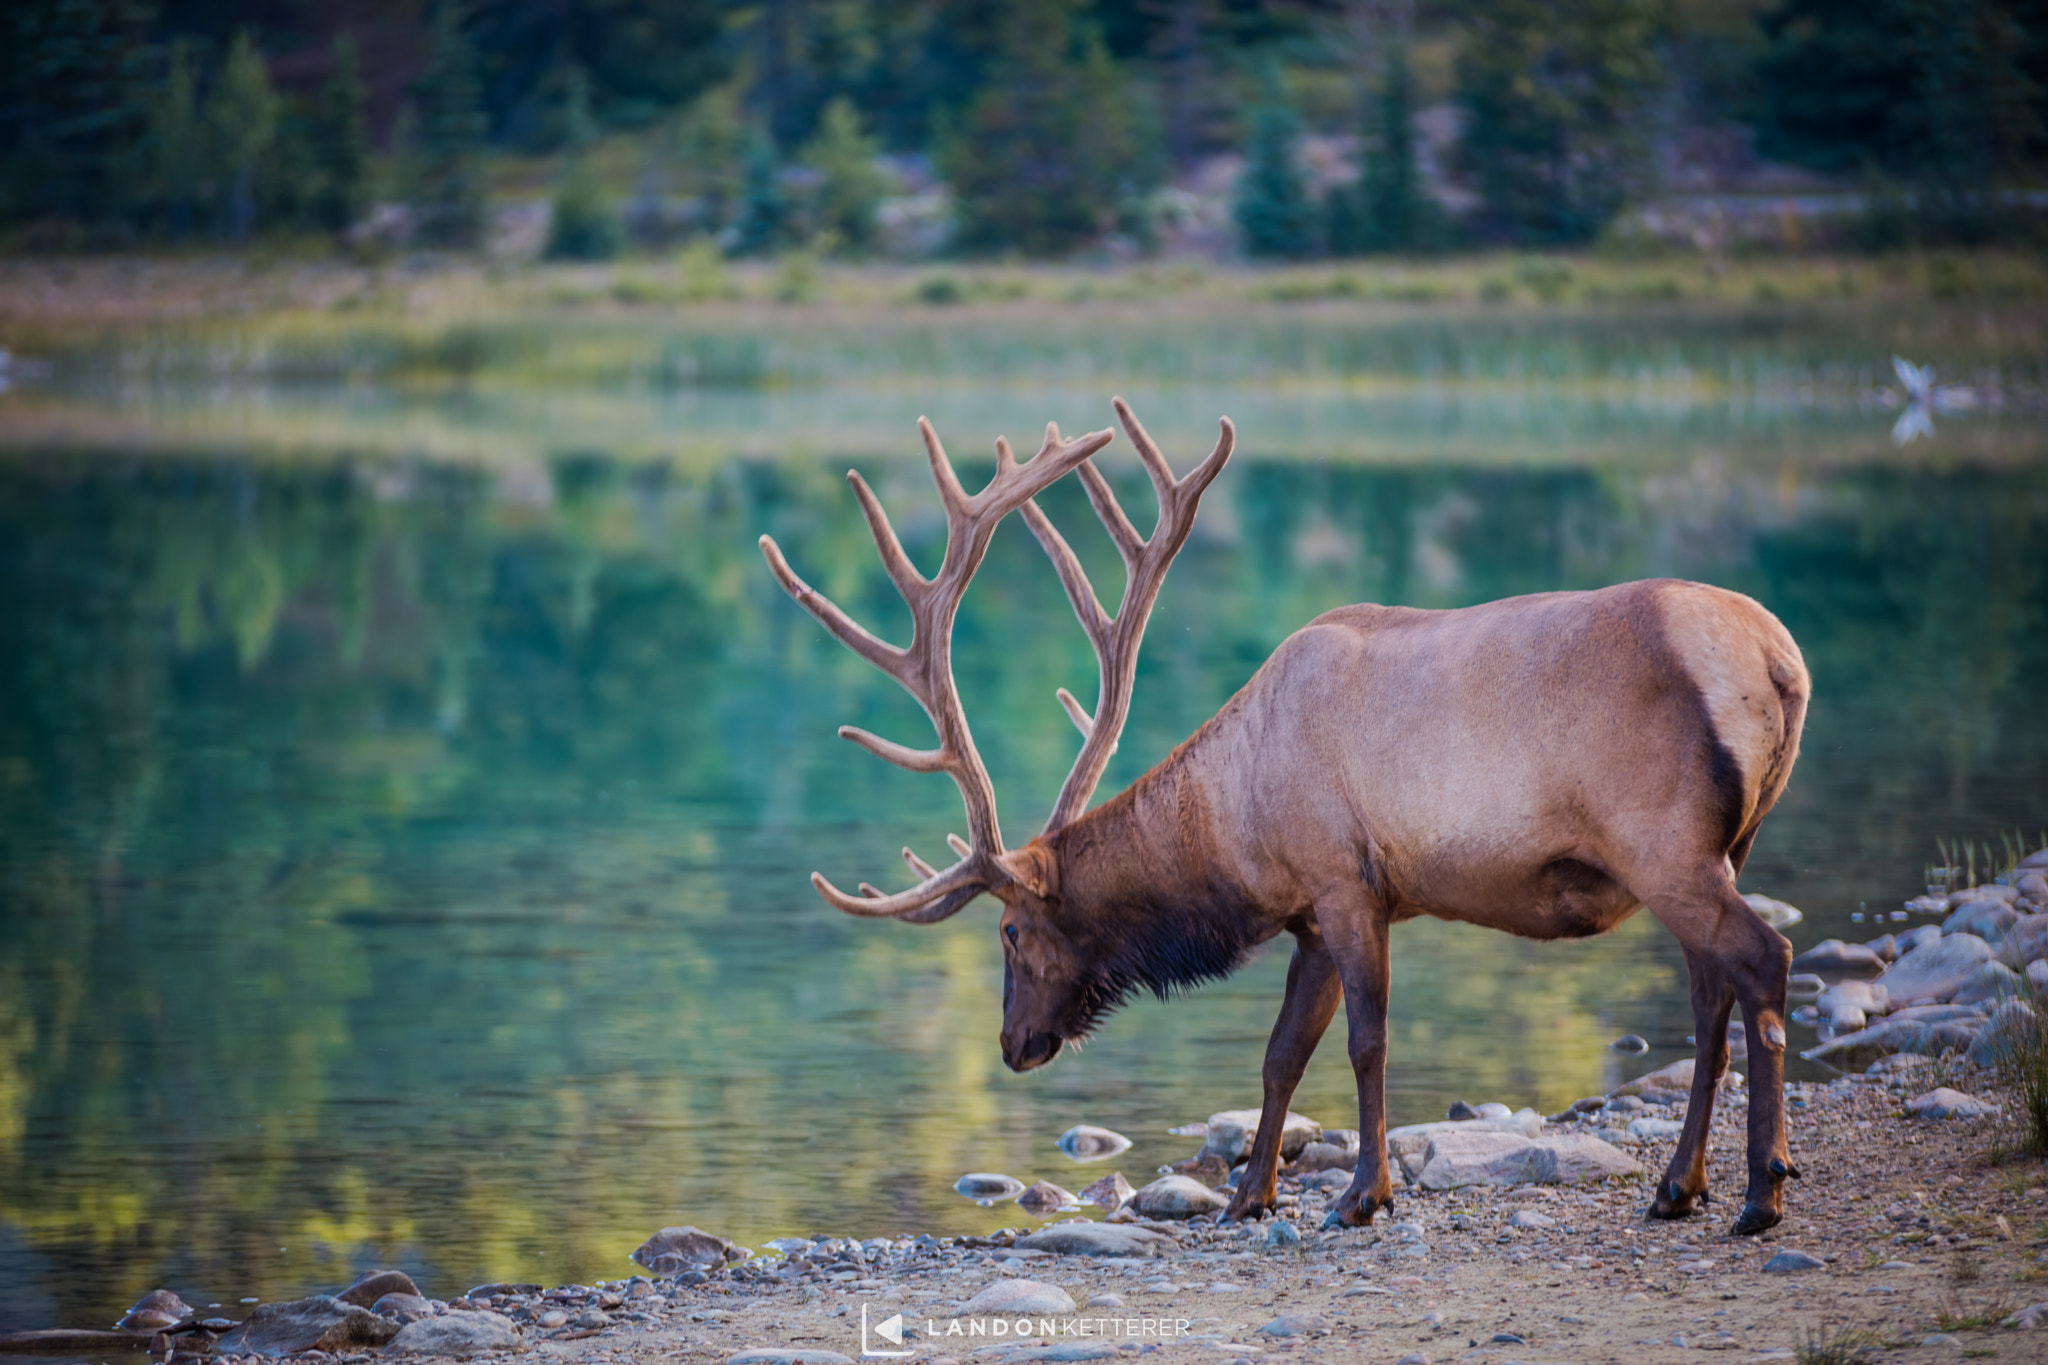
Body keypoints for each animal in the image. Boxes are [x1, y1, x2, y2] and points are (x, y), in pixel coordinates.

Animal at [759, 399, 1811, 1237]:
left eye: (1012, 933)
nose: (1015, 1046)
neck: (1238, 834)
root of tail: (1779, 664)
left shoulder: (1349, 884)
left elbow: (1365, 1043)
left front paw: (1362, 1194)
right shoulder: (1310, 913)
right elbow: (1278, 1057)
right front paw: (1248, 1194)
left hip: (1662, 840)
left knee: (1762, 958)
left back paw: (1762, 1192)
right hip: (1727, 844)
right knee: (1712, 994)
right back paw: (1679, 1186)